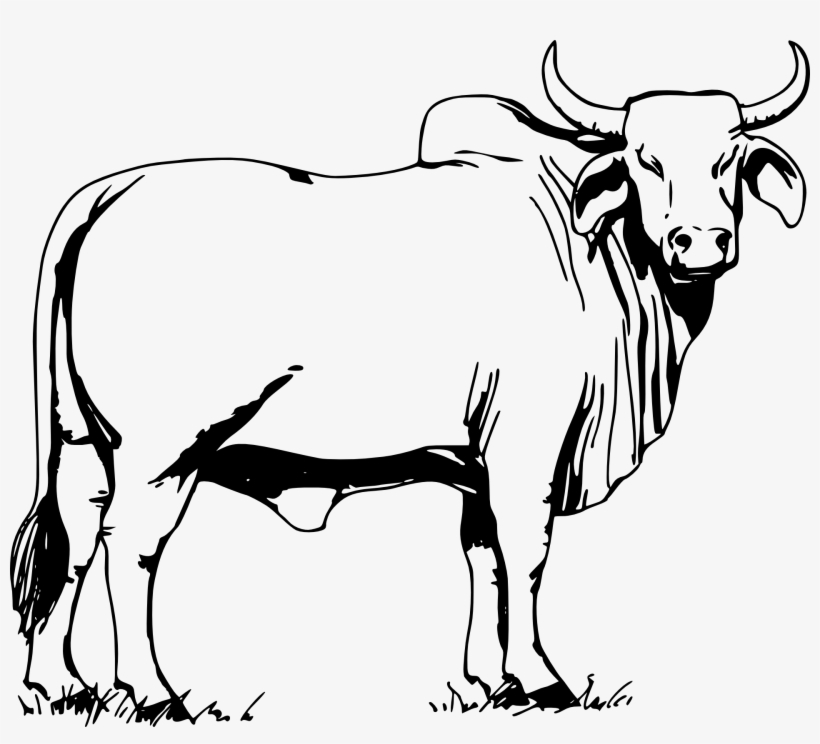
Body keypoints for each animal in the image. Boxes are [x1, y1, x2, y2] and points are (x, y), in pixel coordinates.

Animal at [10, 42, 808, 720]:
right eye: (645, 159)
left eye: (731, 157)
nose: (700, 243)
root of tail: (111, 190)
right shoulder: (528, 444)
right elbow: (526, 553)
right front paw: (541, 677)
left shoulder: (476, 460)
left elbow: (482, 555)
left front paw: (489, 682)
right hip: (165, 450)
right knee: (129, 547)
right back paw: (151, 692)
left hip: (81, 440)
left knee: (72, 539)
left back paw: (60, 684)